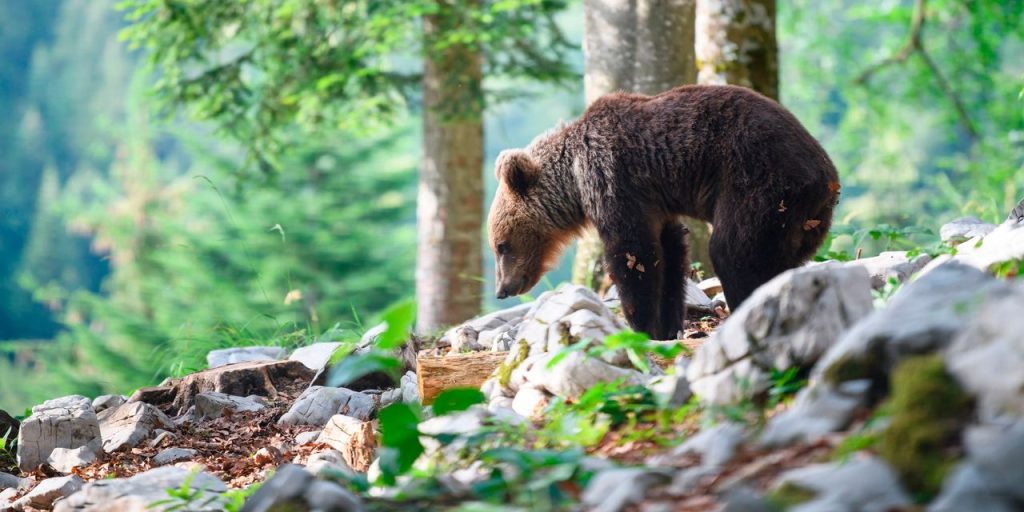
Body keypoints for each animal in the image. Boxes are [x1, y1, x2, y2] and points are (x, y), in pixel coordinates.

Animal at [487, 85, 840, 341]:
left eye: (501, 245)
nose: (503, 289)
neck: (573, 176)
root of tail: (827, 178)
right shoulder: (658, 203)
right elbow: (669, 254)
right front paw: (667, 325)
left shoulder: (614, 179)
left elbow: (633, 253)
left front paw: (640, 324)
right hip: (796, 220)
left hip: (758, 183)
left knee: (733, 250)